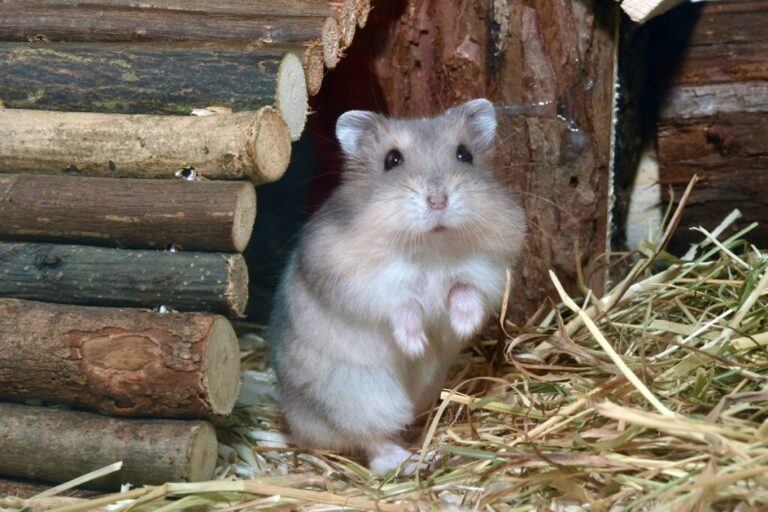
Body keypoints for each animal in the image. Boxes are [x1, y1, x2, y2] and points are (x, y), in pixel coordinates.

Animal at [270, 98, 528, 474]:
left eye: (465, 155)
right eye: (392, 160)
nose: (438, 200)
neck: (431, 247)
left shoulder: (487, 271)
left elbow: (465, 291)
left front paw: (461, 327)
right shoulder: (366, 283)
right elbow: (404, 305)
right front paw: (416, 346)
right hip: (361, 399)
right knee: (373, 443)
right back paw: (410, 460)